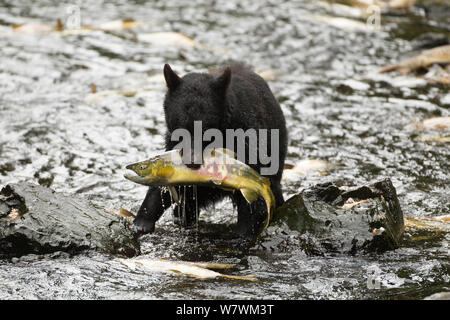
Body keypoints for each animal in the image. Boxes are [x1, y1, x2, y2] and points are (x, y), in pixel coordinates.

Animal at [134, 62, 288, 239]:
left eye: (207, 128)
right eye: (180, 127)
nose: (192, 161)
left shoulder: (247, 142)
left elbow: (252, 202)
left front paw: (243, 234)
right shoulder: (172, 144)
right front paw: (141, 223)